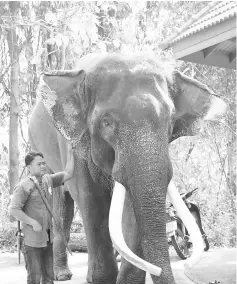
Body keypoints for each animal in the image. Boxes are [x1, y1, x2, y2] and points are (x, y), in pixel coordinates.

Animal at [28, 53, 227, 284]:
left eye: (170, 122)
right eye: (106, 123)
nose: (184, 265)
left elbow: (131, 209)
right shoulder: (75, 145)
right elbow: (92, 202)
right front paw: (103, 279)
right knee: (62, 206)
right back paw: (62, 275)